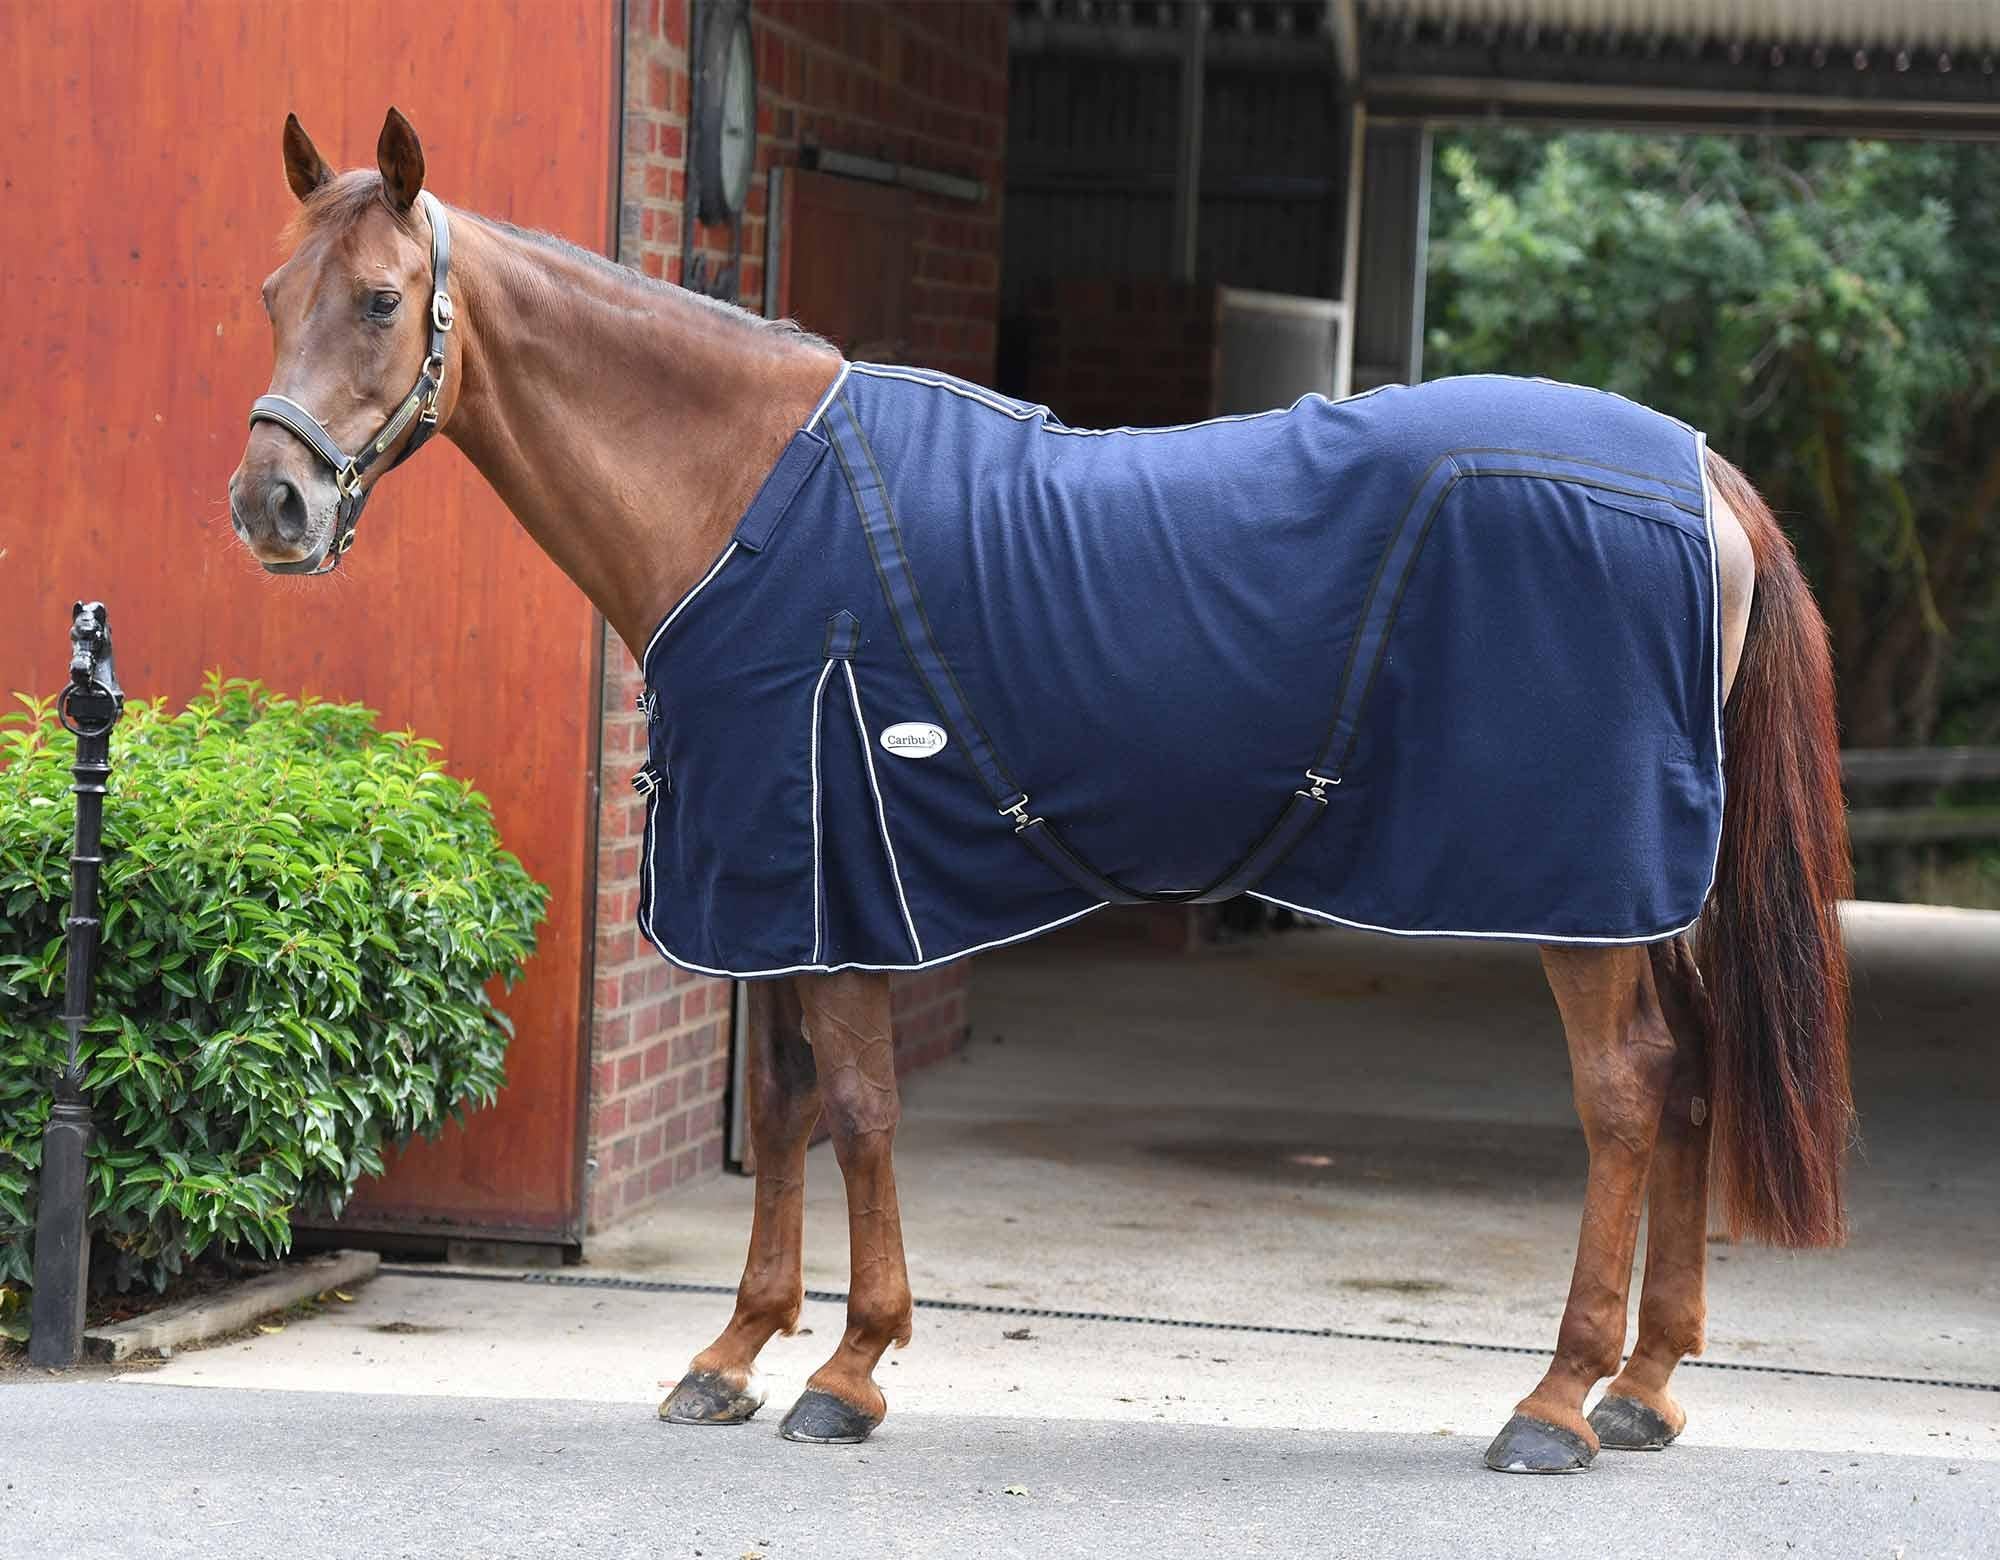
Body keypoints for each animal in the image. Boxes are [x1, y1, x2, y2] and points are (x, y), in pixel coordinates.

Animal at [228, 109, 1853, 1473]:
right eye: (269, 293)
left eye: (381, 299)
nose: (270, 506)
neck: (744, 496)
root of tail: (1699, 472)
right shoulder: (774, 881)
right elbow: (788, 1100)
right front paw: (734, 1354)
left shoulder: (835, 876)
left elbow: (862, 1107)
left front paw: (850, 1372)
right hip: (1648, 900)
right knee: (1695, 1077)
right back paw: (1645, 1389)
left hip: (1582, 891)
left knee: (1627, 1091)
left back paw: (1555, 1402)